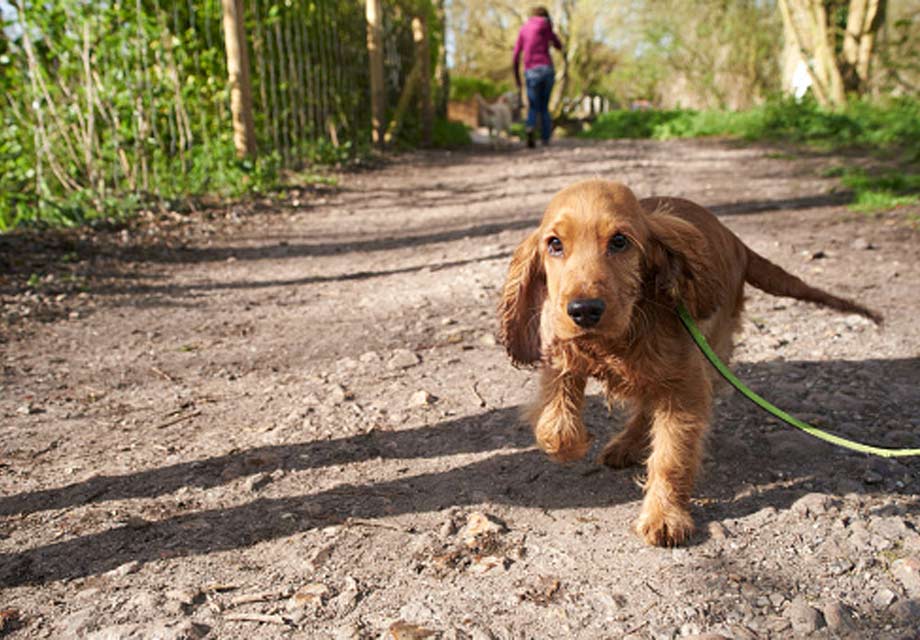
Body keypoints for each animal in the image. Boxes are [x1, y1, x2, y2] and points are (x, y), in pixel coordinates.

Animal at [500, 179, 880, 544]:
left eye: (619, 241)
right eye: (554, 244)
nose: (584, 311)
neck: (617, 339)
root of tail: (737, 242)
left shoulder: (685, 385)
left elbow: (671, 455)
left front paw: (665, 517)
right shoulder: (561, 348)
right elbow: (555, 420)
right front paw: (569, 443)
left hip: (712, 348)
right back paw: (625, 445)